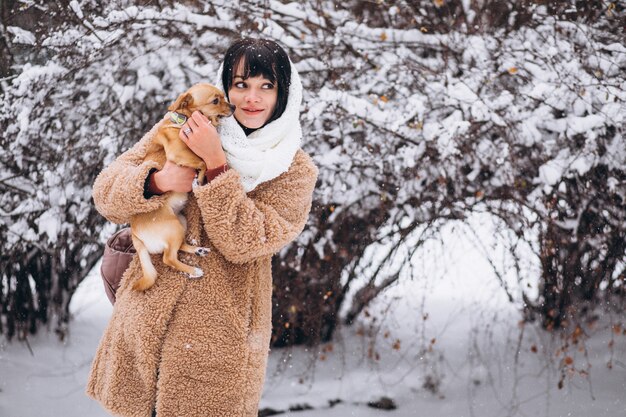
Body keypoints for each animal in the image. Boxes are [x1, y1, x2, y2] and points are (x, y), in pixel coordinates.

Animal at [129, 81, 234, 290]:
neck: (184, 122)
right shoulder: (179, 153)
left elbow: (203, 161)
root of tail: (135, 235)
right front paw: (198, 180)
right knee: (168, 258)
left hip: (180, 222)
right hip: (174, 228)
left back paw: (198, 250)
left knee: (178, 248)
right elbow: (202, 162)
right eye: (215, 101)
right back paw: (193, 271)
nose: (234, 107)